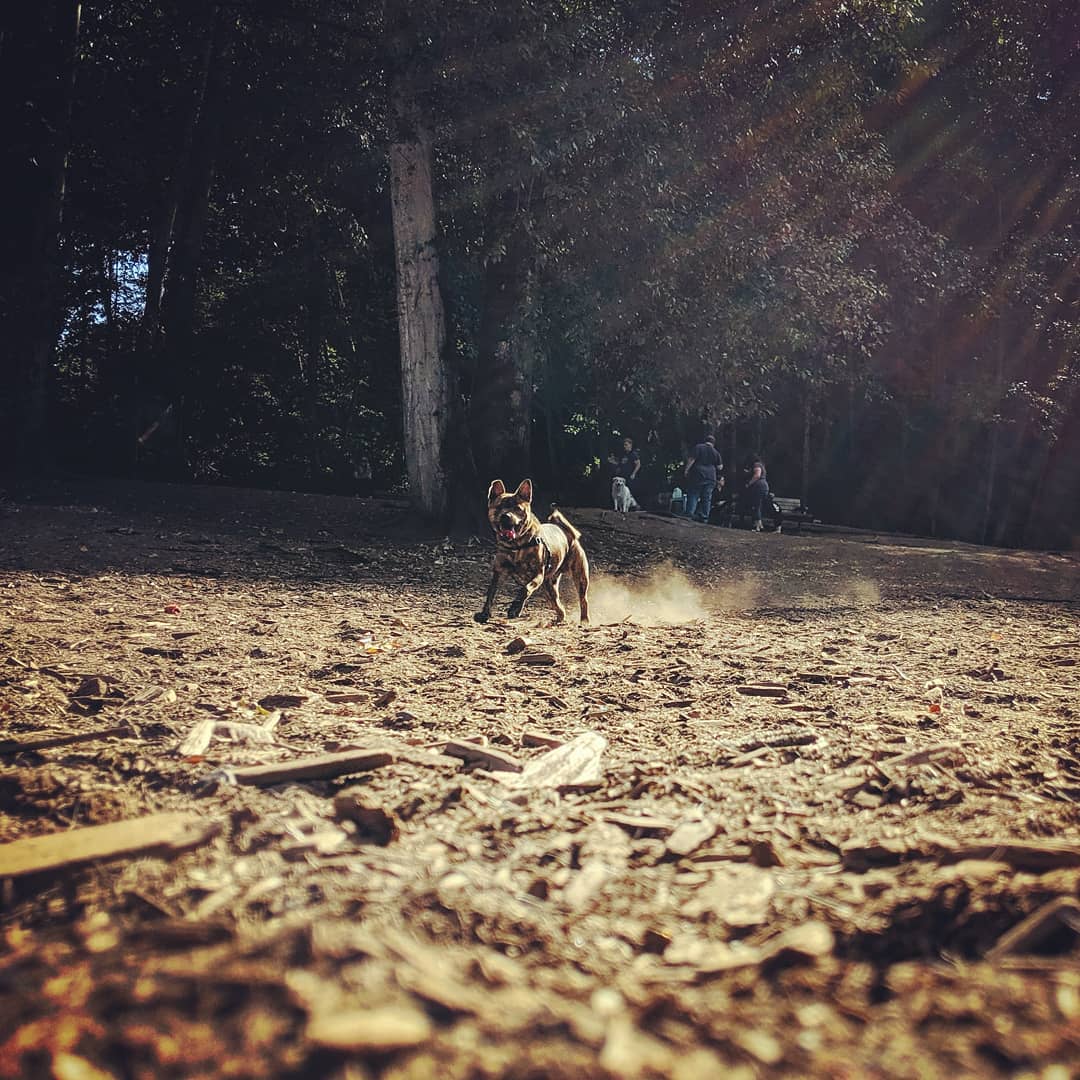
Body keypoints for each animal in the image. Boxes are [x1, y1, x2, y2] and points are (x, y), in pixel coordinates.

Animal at [473, 479, 591, 626]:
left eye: (518, 509)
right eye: (499, 507)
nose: (506, 516)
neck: (516, 546)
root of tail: (567, 532)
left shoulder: (537, 574)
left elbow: (525, 590)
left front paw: (514, 609)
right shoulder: (499, 573)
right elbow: (491, 594)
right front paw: (484, 614)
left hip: (579, 577)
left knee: (583, 600)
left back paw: (584, 620)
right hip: (548, 586)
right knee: (557, 604)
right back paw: (559, 619)